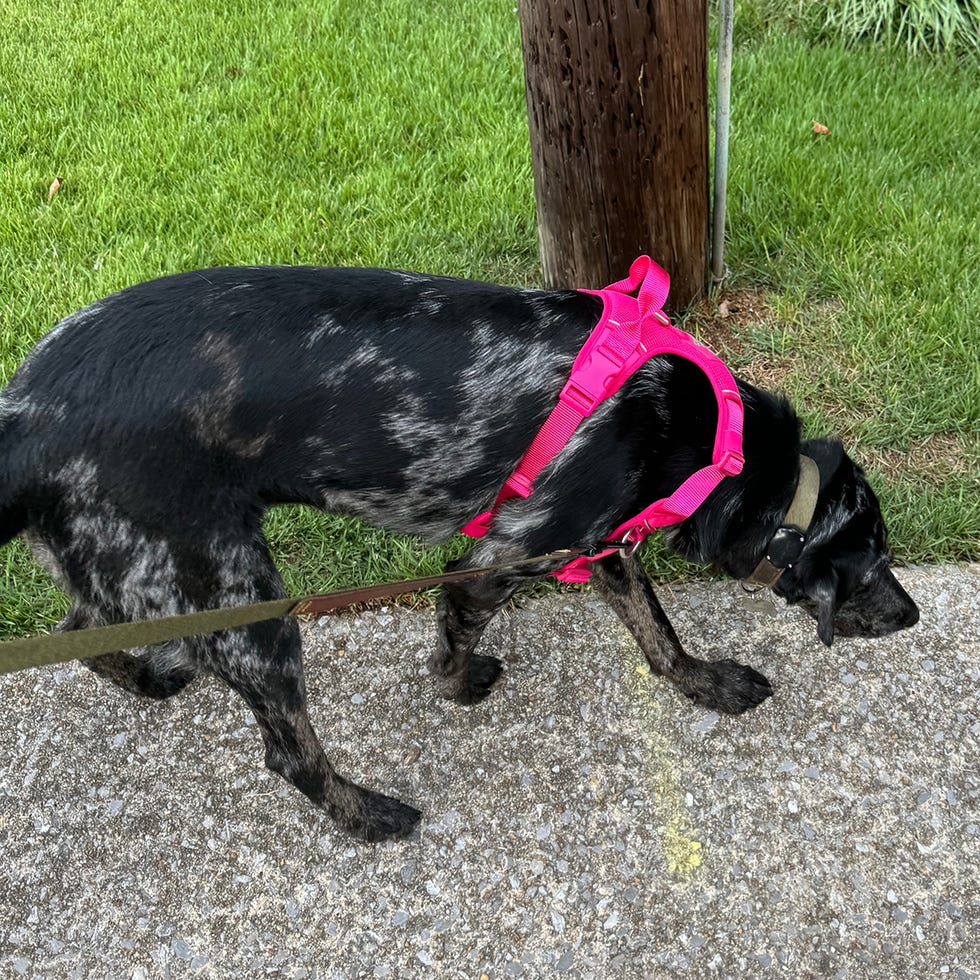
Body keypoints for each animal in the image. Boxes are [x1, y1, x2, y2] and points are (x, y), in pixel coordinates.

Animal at [0, 264, 920, 840]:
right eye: (873, 561)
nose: (912, 614)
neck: (711, 436)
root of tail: (24, 425)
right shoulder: (502, 558)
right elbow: (454, 642)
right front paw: (458, 683)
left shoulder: (601, 546)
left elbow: (657, 632)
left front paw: (703, 683)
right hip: (244, 600)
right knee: (288, 751)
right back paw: (368, 815)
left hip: (143, 569)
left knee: (85, 634)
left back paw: (152, 680)